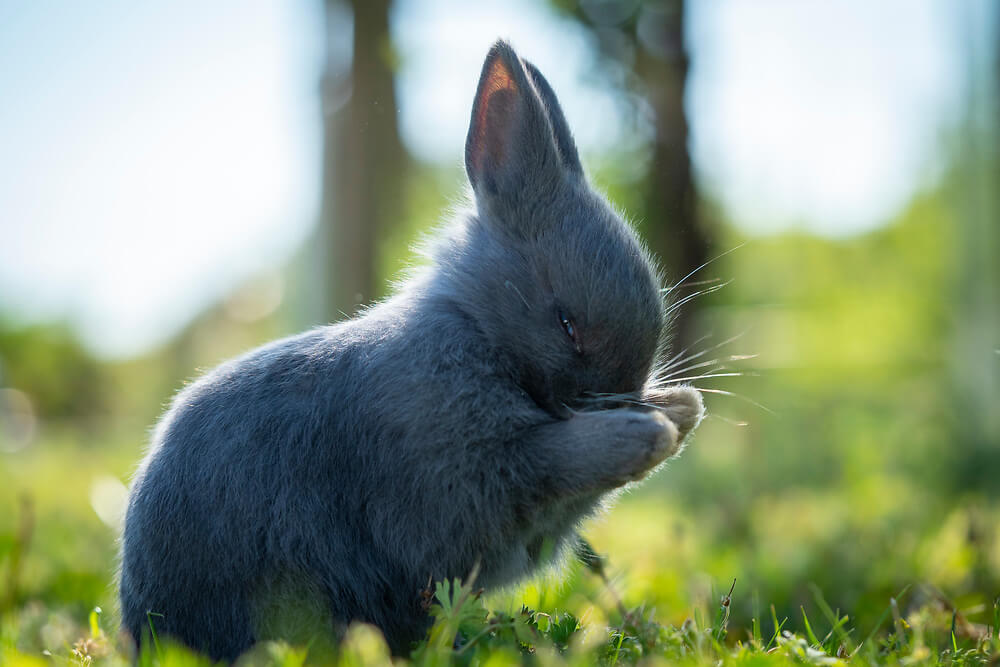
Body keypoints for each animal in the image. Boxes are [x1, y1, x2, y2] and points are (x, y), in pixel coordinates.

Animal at [118, 39, 704, 660]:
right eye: (567, 324)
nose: (626, 399)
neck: (478, 333)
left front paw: (681, 408)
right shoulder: (456, 473)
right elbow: (552, 460)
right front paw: (649, 432)